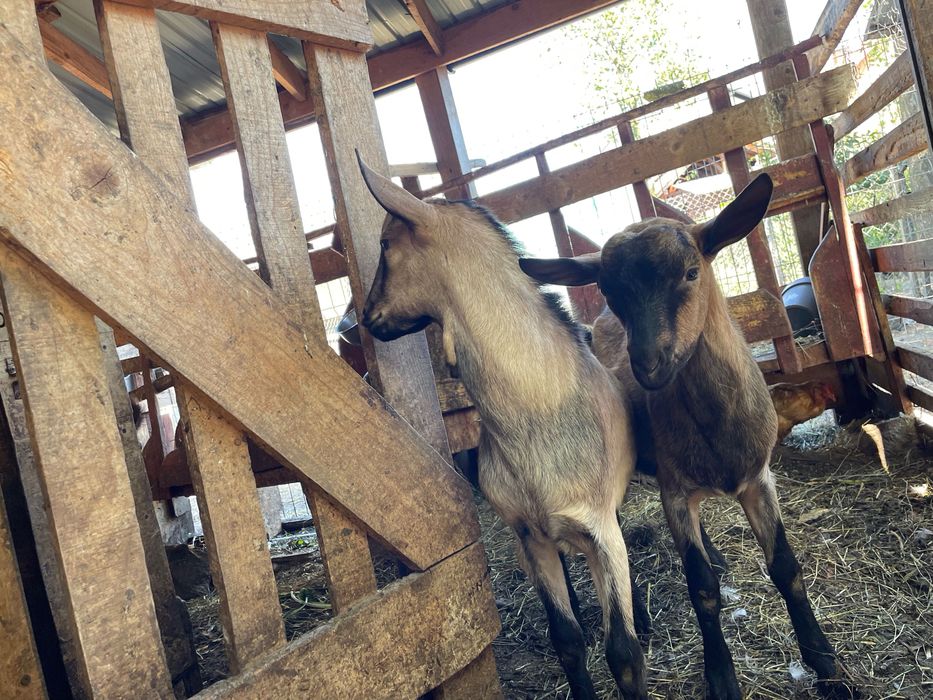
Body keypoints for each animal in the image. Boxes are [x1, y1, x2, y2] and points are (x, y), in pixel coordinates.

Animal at [356, 155, 647, 699]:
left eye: (385, 244)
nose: (367, 318)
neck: (535, 415)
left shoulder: (600, 528)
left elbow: (624, 651)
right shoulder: (528, 533)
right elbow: (567, 638)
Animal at [521, 174, 857, 700]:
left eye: (691, 272)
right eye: (609, 290)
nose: (647, 364)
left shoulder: (759, 478)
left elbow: (786, 568)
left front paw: (828, 666)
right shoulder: (675, 492)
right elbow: (701, 588)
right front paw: (720, 675)